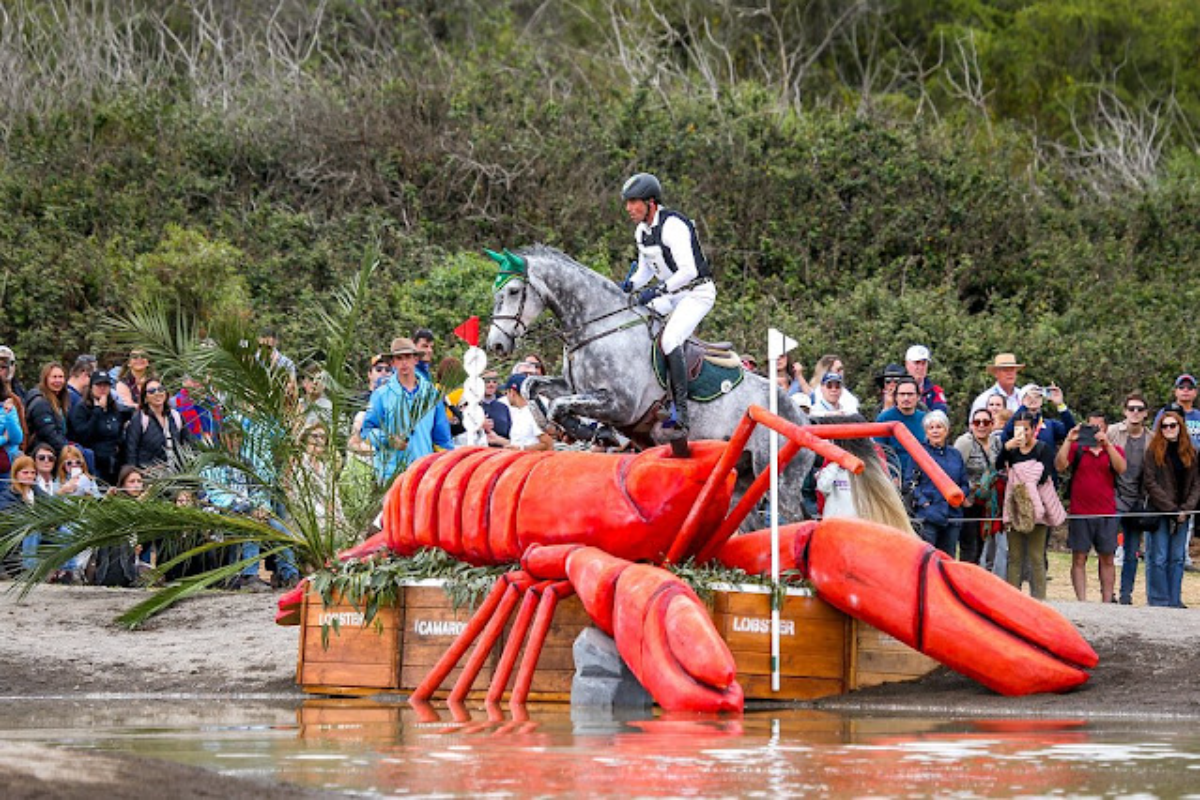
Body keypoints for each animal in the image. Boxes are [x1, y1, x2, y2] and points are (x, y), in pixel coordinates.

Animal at [482, 244, 902, 532]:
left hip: (778, 478)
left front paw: (591, 433)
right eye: (496, 293)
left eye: (514, 292)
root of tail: (803, 420)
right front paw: (566, 428)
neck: (597, 326)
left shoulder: (619, 404)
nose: (496, 346)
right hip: (743, 478)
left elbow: (560, 407)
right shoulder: (573, 386)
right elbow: (535, 387)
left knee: (788, 522)